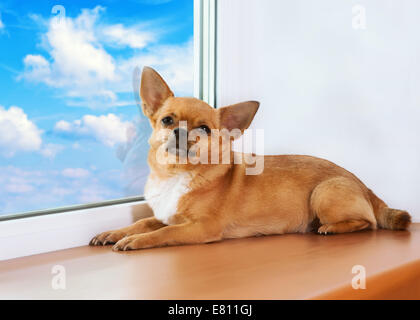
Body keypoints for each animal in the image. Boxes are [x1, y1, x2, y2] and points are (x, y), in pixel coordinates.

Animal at [90, 67, 412, 251]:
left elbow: (163, 233)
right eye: (167, 120)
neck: (176, 173)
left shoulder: (199, 227)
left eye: (204, 129)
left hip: (324, 192)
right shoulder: (165, 215)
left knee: (368, 223)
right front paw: (115, 233)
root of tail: (365, 187)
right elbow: (145, 223)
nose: (180, 131)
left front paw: (135, 241)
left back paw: (330, 228)